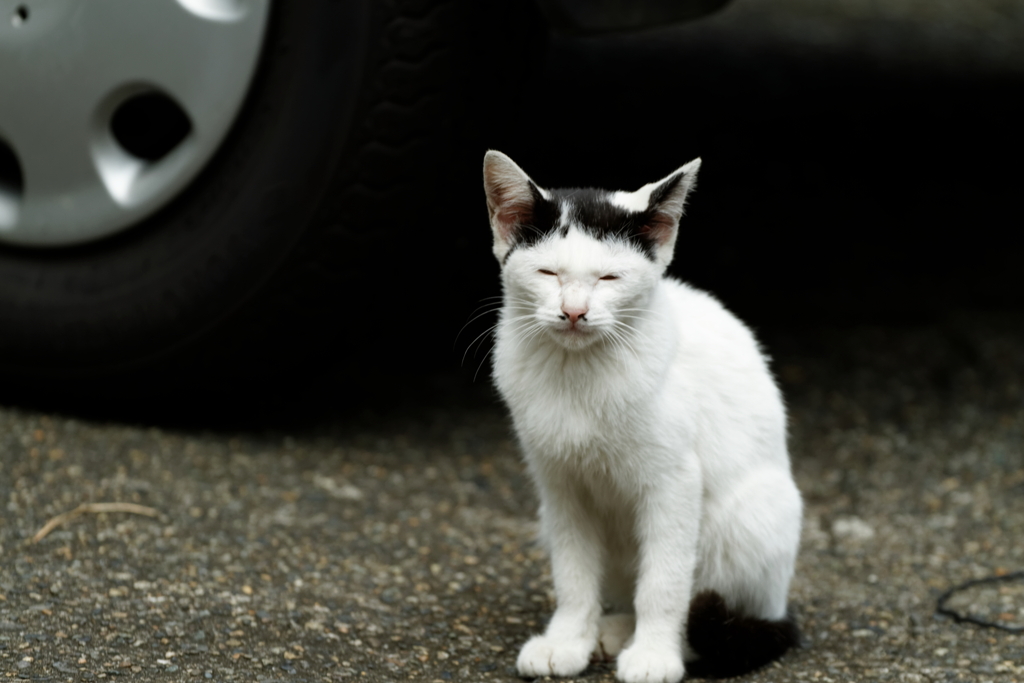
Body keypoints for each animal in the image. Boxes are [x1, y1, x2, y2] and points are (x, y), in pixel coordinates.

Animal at [483, 150, 802, 683]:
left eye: (609, 278)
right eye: (548, 273)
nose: (574, 312)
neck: (579, 373)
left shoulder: (675, 483)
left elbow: (665, 581)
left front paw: (655, 653)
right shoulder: (560, 485)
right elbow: (573, 573)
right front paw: (567, 638)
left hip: (754, 517)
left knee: (713, 606)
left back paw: (651, 639)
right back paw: (609, 629)